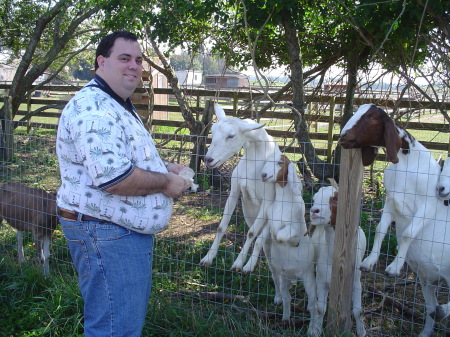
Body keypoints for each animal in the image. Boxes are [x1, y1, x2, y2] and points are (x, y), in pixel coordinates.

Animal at [200, 101, 278, 272]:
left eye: (231, 136)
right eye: (212, 131)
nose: (208, 159)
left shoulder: (267, 201)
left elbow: (251, 233)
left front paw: (238, 264)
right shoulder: (234, 192)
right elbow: (221, 227)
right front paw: (208, 258)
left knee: (261, 237)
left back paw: (251, 265)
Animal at [312, 182, 368, 334]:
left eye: (336, 199)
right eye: (314, 199)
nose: (314, 211)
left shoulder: (355, 282)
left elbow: (358, 311)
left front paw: (362, 332)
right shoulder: (321, 281)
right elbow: (320, 309)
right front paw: (315, 330)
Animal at [340, 103, 450, 334]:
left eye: (371, 117)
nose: (343, 136)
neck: (407, 164)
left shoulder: (427, 205)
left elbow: (408, 233)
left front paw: (394, 267)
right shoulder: (391, 201)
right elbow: (380, 230)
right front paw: (369, 262)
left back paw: (443, 310)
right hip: (428, 280)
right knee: (430, 309)